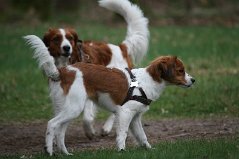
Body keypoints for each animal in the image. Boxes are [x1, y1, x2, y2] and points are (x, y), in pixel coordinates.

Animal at [23, 34, 194, 155]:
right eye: (181, 71)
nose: (193, 80)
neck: (146, 81)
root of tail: (63, 71)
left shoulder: (135, 117)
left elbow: (142, 136)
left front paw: (150, 149)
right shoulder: (125, 112)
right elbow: (122, 134)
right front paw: (121, 151)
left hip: (67, 109)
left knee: (60, 131)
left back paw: (65, 153)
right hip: (73, 108)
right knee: (52, 124)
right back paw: (49, 151)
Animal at [26, 0, 149, 139]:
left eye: (70, 38)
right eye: (56, 39)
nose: (67, 48)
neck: (67, 62)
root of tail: (121, 47)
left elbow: (87, 118)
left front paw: (90, 131)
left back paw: (107, 127)